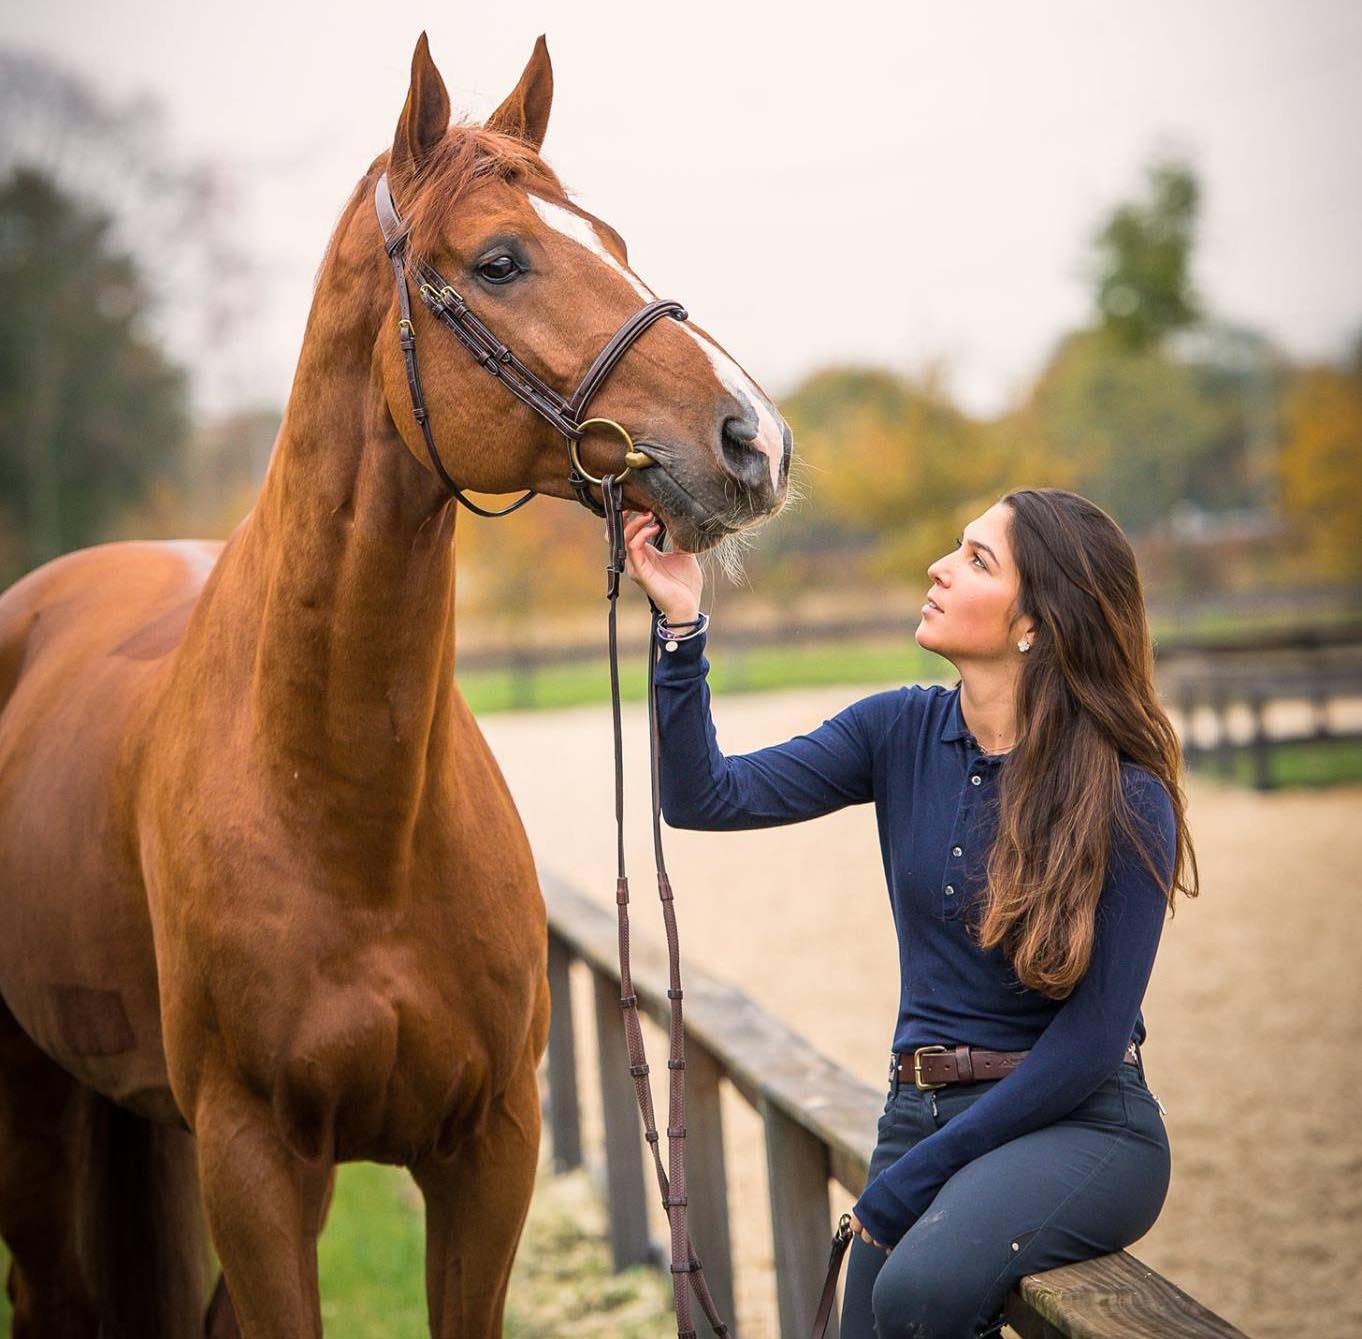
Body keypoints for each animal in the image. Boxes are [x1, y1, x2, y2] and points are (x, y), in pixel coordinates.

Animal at [0, 31, 789, 1339]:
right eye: (501, 260)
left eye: (614, 240)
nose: (754, 437)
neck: (345, 810)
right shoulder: (256, 1167)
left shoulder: (489, 1153)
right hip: (43, 1117)